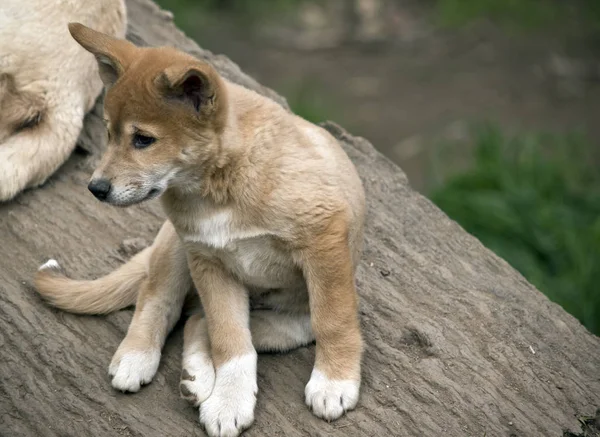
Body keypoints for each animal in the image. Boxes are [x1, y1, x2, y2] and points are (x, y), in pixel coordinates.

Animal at [35, 23, 366, 436]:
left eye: (143, 140)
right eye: (109, 134)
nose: (96, 188)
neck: (221, 183)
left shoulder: (324, 240)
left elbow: (332, 320)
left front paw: (333, 382)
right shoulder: (208, 260)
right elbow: (229, 339)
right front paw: (228, 400)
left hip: (291, 314)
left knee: (202, 320)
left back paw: (194, 377)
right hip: (176, 250)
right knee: (160, 300)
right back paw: (142, 358)